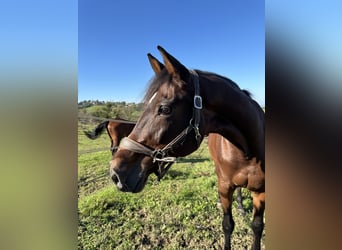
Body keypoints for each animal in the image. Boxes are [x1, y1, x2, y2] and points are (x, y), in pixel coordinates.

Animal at [109, 47, 264, 250]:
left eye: (165, 109)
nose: (115, 173)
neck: (246, 153)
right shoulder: (224, 186)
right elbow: (227, 224)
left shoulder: (261, 192)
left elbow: (257, 227)